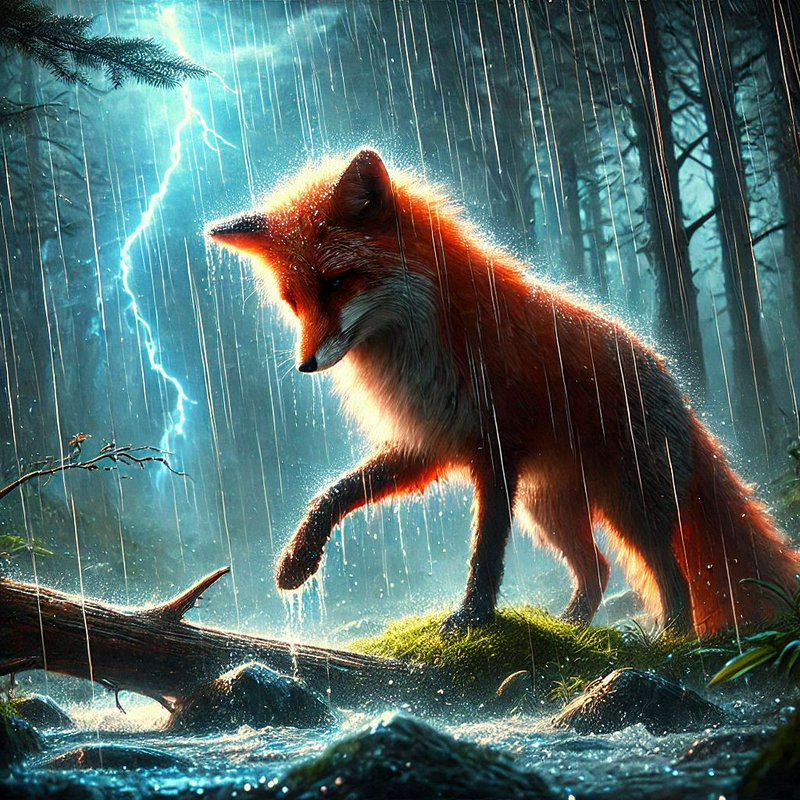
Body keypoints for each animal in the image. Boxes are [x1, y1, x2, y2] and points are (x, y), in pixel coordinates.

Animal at [208, 148, 800, 636]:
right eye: (293, 302)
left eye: (336, 283)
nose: (305, 365)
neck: (417, 350)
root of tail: (677, 386)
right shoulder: (429, 441)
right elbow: (337, 491)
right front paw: (298, 559)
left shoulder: (496, 447)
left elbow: (486, 548)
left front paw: (472, 618)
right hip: (552, 511)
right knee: (599, 569)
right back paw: (572, 629)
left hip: (633, 506)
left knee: (670, 578)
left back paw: (673, 642)